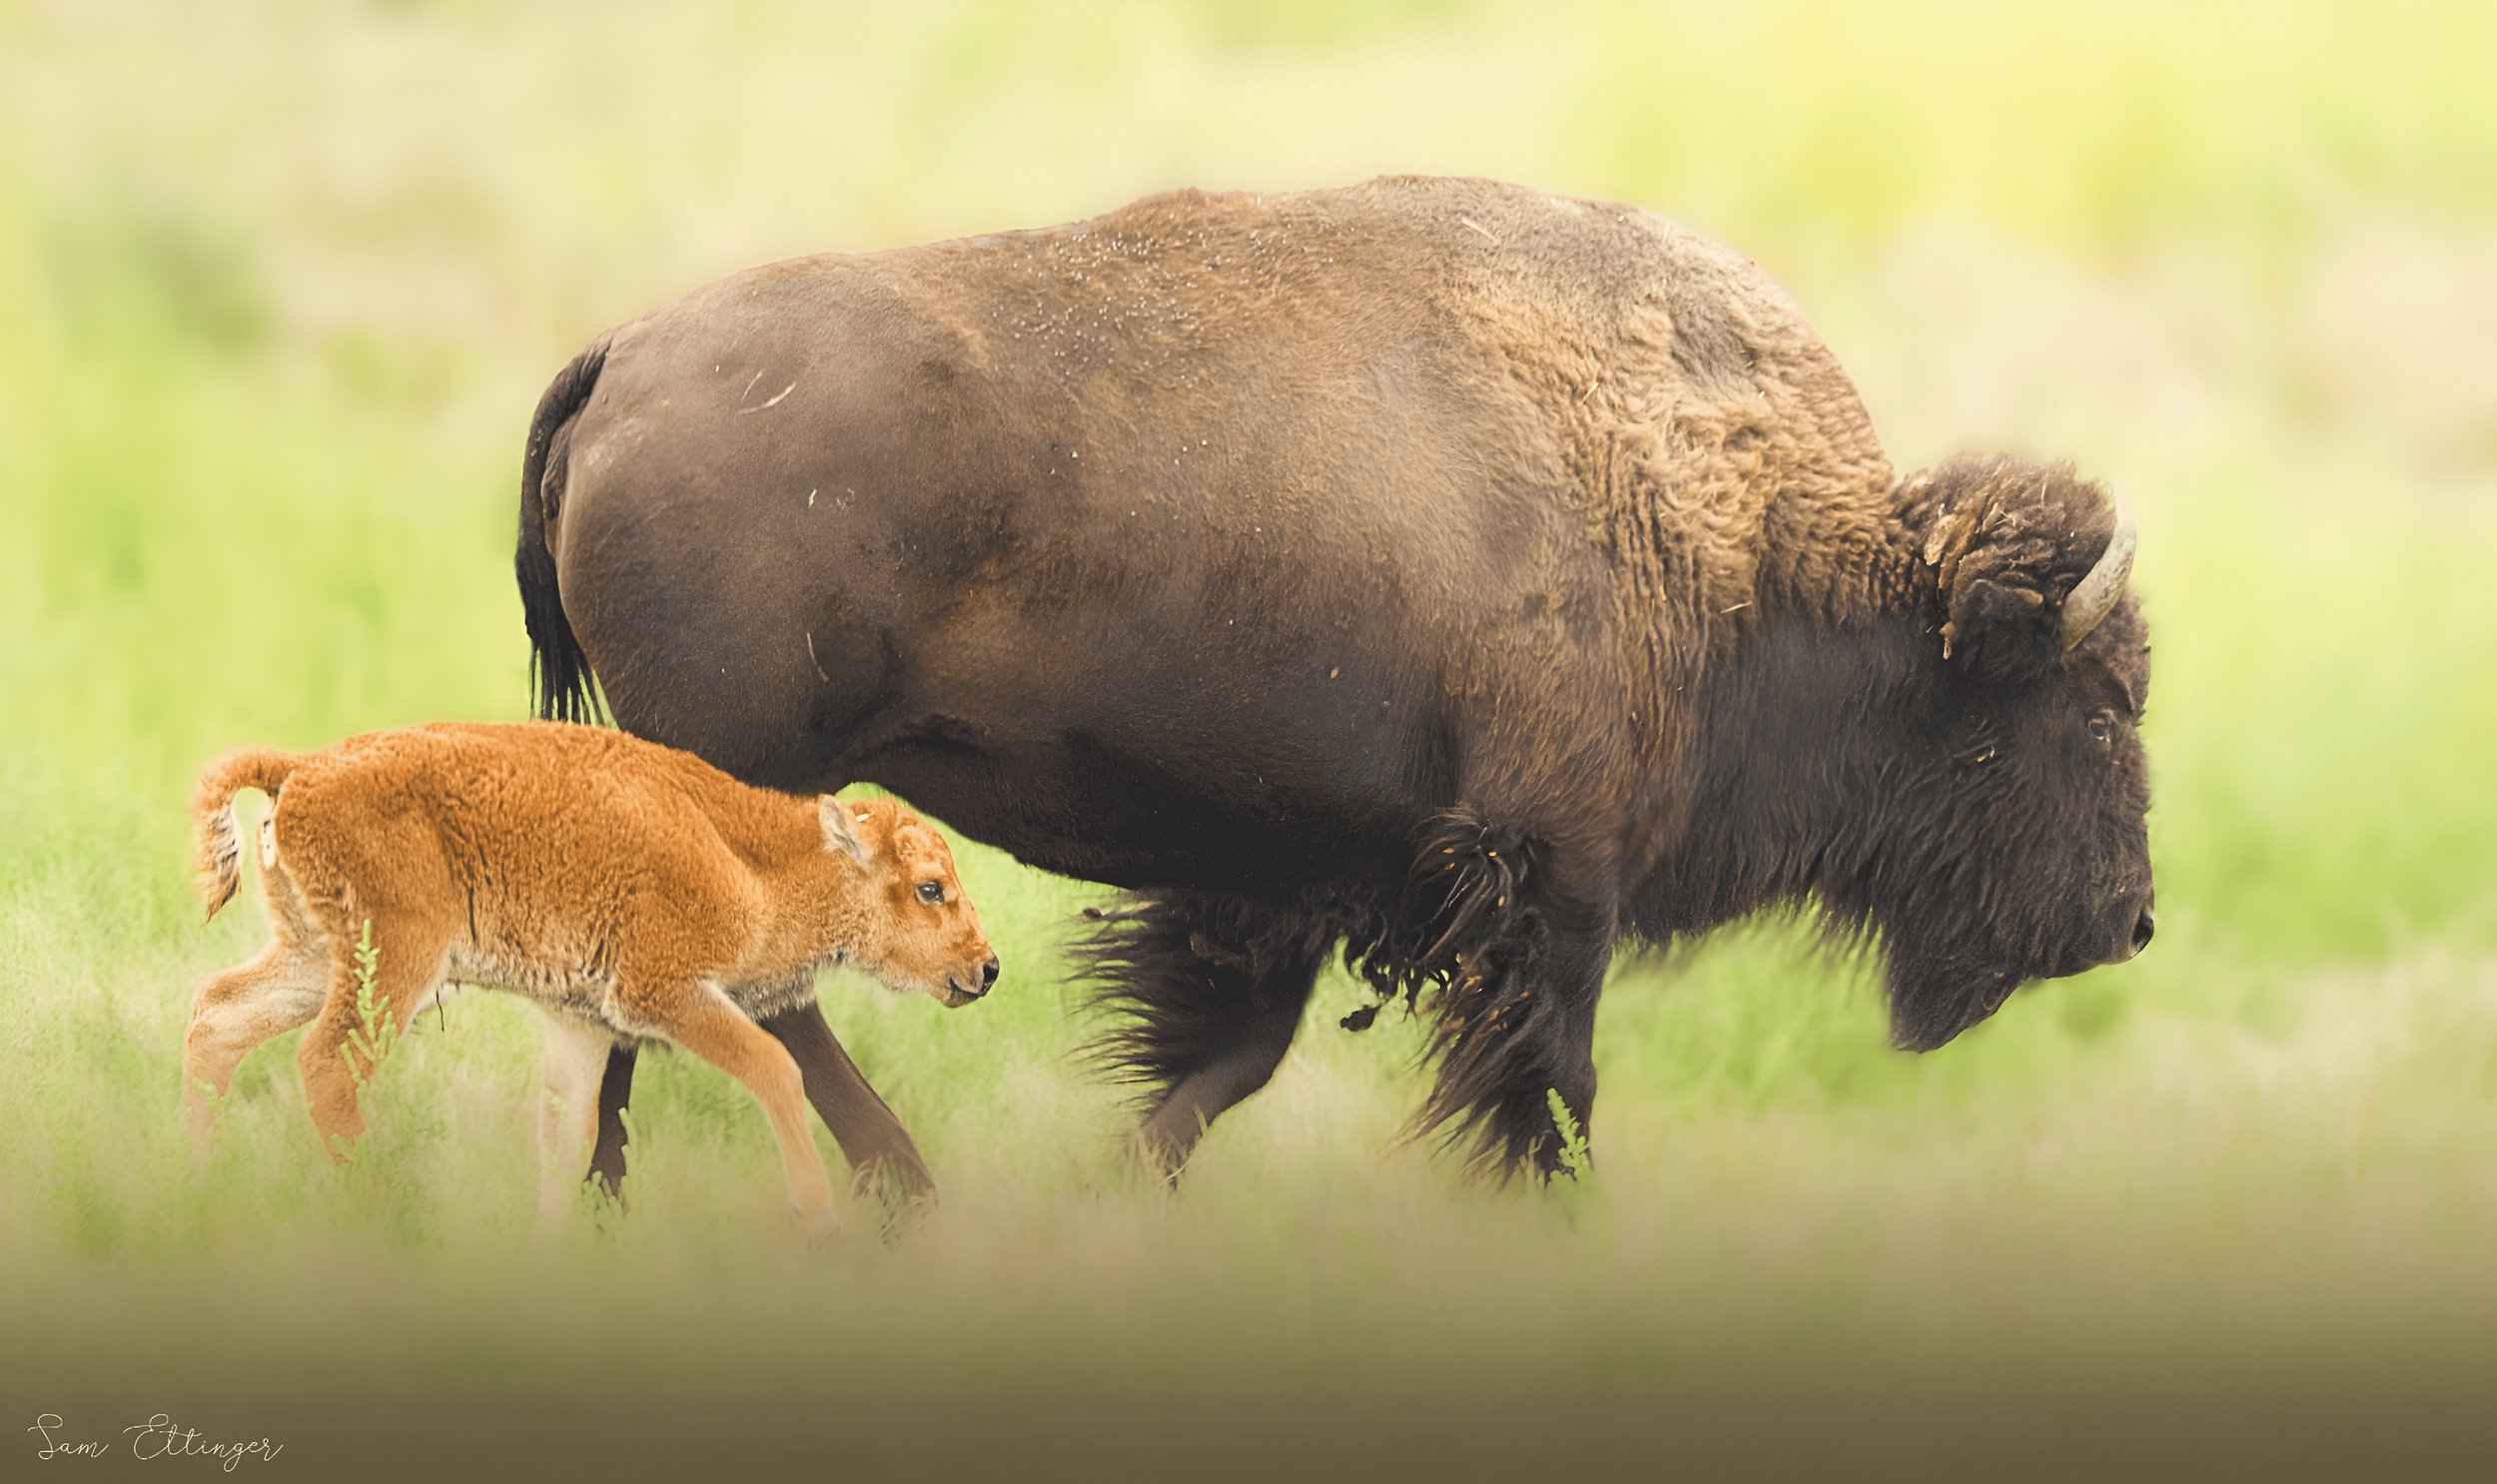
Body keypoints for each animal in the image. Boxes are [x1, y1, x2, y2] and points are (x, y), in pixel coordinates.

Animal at [515, 176, 2152, 1182]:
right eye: (2087, 709)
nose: (2130, 920)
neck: (1734, 530)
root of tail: (622, 357)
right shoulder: (1549, 874)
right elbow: (1547, 1088)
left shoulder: (1292, 869)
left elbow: (1225, 1062)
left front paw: (1116, 1187)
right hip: (748, 783)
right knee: (742, 998)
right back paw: (900, 1189)